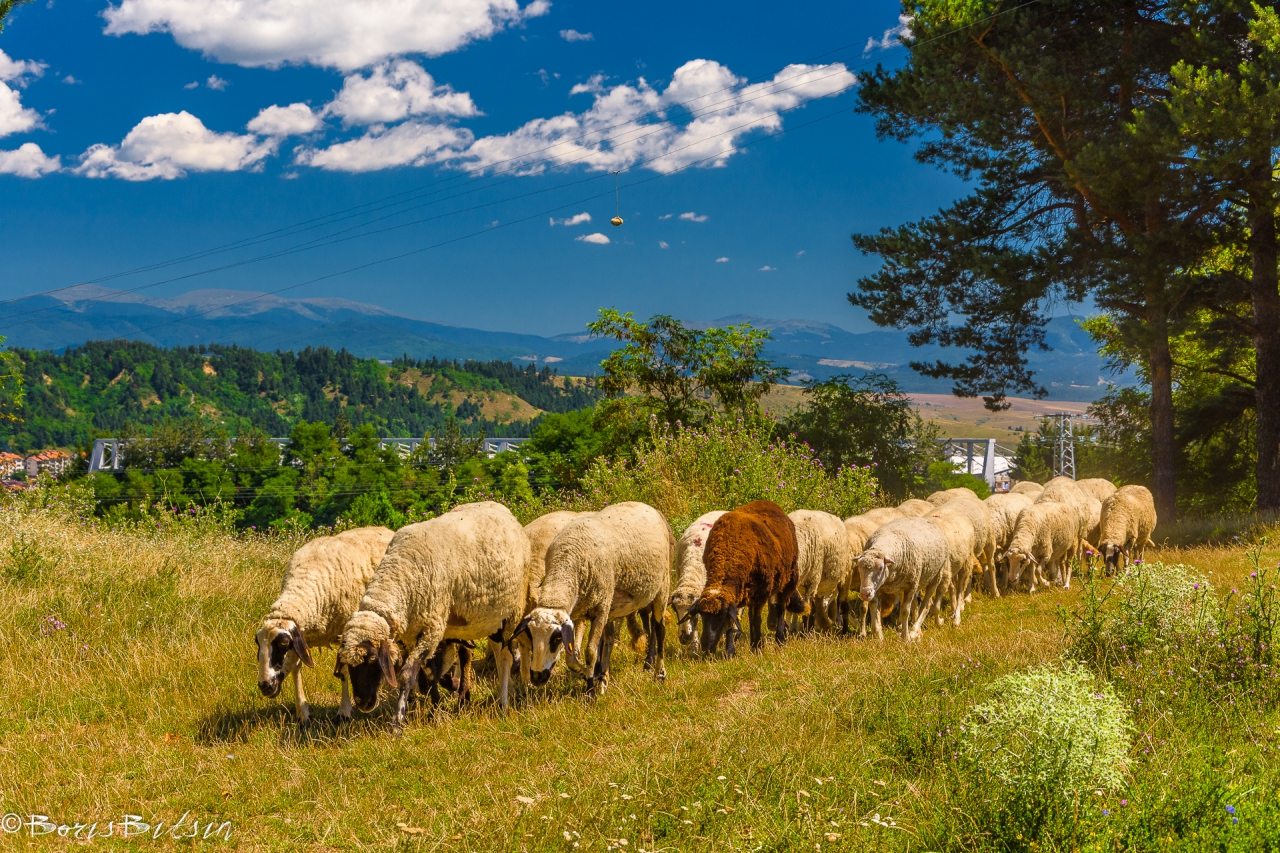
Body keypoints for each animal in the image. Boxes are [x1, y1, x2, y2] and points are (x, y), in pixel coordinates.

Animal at [254, 525, 394, 722]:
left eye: (283, 644)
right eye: (257, 643)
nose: (264, 686)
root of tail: (382, 528)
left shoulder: (348, 635)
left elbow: (344, 670)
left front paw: (344, 712)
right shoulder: (302, 636)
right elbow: (296, 668)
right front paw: (303, 714)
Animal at [337, 502, 532, 727]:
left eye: (372, 659)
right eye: (347, 664)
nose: (363, 703)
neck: (401, 574)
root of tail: (502, 509)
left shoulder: (433, 628)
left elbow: (408, 675)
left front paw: (398, 721)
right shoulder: (415, 634)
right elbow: (430, 672)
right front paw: (436, 708)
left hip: (510, 615)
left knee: (504, 657)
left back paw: (504, 701)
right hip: (469, 624)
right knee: (466, 655)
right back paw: (463, 698)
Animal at [512, 502, 675, 696]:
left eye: (556, 639)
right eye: (530, 635)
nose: (536, 677)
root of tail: (645, 505)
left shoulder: (600, 609)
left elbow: (590, 652)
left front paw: (590, 691)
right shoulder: (577, 613)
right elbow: (571, 657)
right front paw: (587, 674)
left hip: (661, 587)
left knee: (659, 629)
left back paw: (659, 674)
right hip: (613, 603)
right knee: (610, 637)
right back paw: (603, 678)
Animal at [691, 494, 798, 653]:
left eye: (720, 616)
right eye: (703, 616)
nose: (705, 646)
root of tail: (767, 502)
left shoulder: (761, 594)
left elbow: (755, 620)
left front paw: (756, 647)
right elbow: (732, 622)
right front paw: (729, 651)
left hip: (789, 578)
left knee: (780, 608)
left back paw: (780, 640)